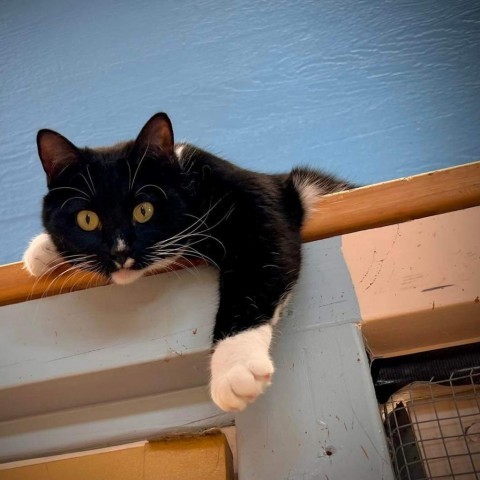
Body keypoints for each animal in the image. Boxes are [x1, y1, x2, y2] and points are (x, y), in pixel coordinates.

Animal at [22, 113, 352, 412]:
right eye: (87, 219)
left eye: (144, 210)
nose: (119, 252)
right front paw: (42, 251)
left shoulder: (260, 208)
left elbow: (254, 276)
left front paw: (235, 367)